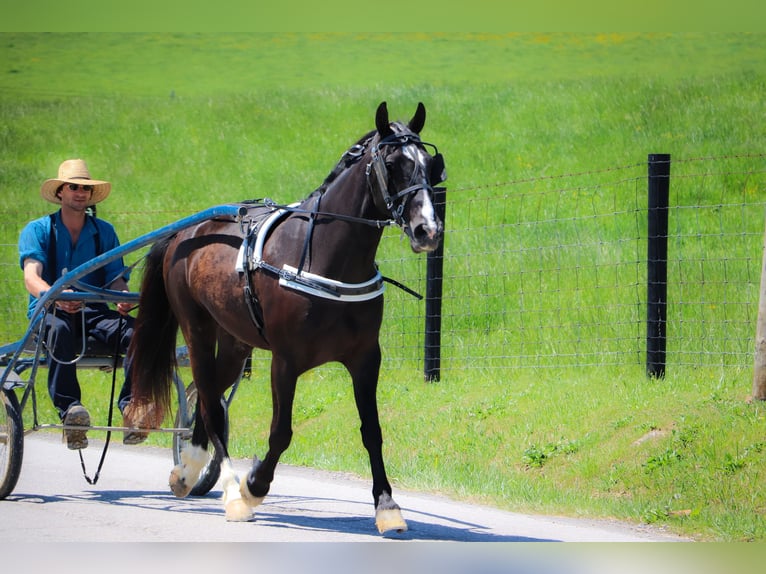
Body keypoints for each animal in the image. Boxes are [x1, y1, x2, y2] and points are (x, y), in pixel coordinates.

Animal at [128, 102, 448, 536]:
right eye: (393, 163)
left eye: (430, 165)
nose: (427, 229)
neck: (326, 259)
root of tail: (185, 232)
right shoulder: (286, 361)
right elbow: (281, 432)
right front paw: (253, 485)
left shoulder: (366, 358)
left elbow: (372, 431)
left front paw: (387, 507)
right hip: (196, 329)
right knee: (210, 404)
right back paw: (231, 493)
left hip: (234, 342)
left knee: (209, 396)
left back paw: (188, 469)